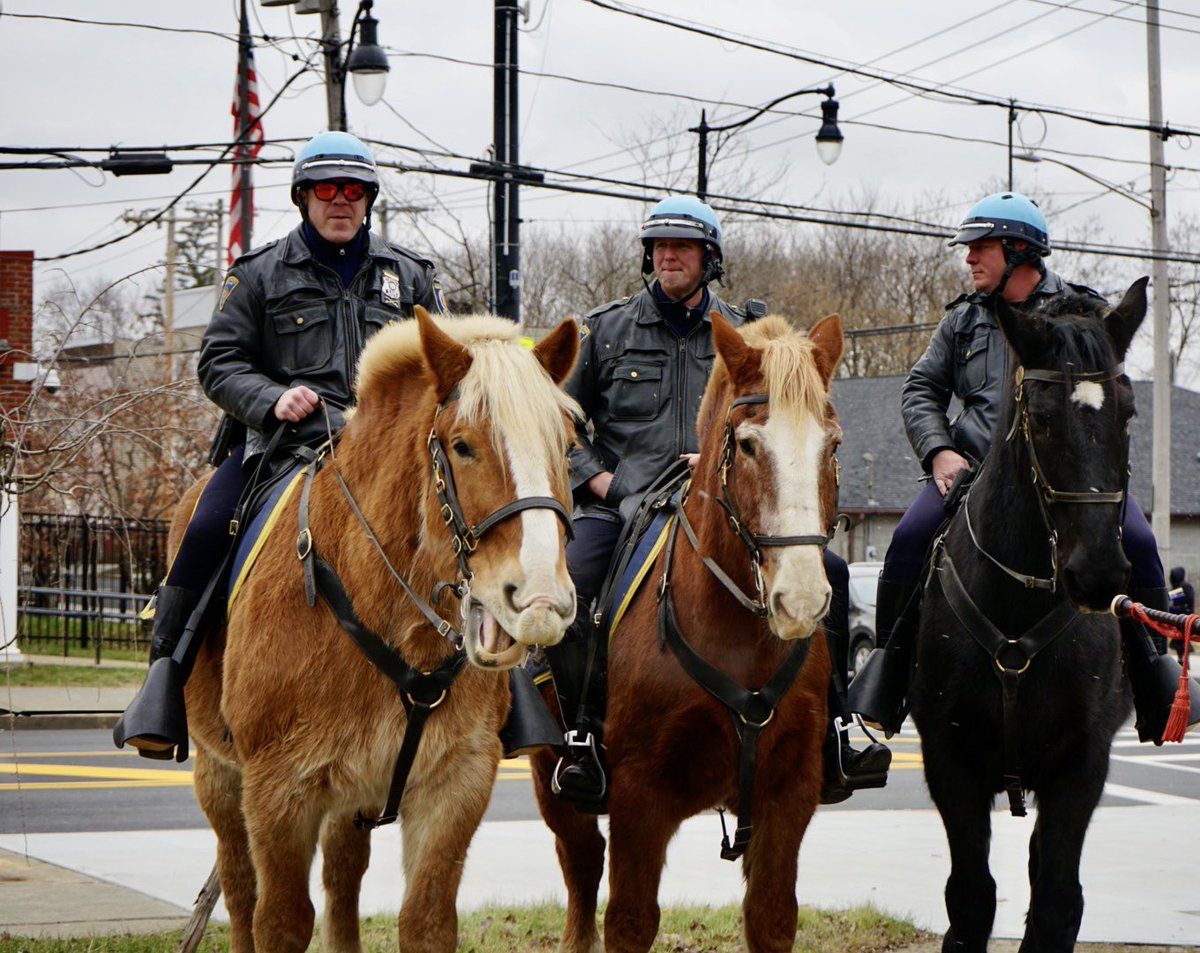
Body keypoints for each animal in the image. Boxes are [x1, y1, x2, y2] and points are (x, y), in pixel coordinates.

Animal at [180, 307, 583, 945]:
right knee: (241, 890)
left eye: (567, 448)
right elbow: (279, 920)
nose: (541, 601)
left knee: (343, 880)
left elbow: (426, 921)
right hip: (218, 777)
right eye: (462, 446)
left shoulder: (455, 787)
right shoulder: (277, 793)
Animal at [530, 314, 849, 950]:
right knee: (581, 864)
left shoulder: (790, 795)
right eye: (748, 445)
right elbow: (629, 920)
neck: (739, 642)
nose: (801, 600)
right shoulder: (639, 797)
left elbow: (771, 918)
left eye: (832, 444)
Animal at [912, 276, 1147, 950]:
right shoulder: (949, 761)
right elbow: (969, 900)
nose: (1096, 574)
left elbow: (1057, 903)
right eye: (1040, 418)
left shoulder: (1082, 766)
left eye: (1128, 412)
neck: (1019, 604)